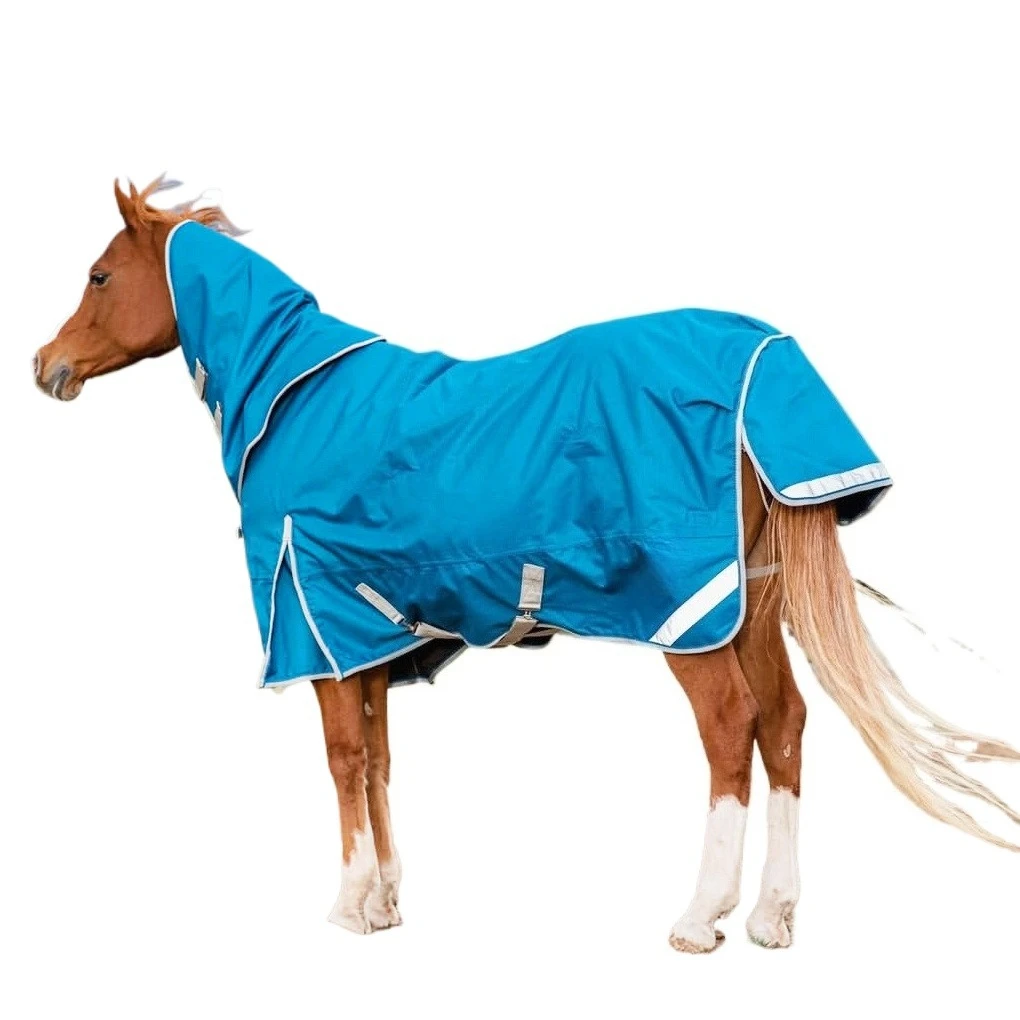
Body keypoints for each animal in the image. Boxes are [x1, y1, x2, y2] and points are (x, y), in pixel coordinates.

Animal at [33, 176, 1020, 953]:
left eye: (99, 276)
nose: (46, 364)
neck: (302, 401)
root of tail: (758, 360)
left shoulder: (316, 627)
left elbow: (344, 757)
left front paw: (350, 905)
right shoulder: (372, 637)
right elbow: (380, 760)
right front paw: (388, 903)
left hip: (689, 616)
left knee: (731, 727)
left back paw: (700, 917)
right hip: (753, 604)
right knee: (783, 722)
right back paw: (772, 917)